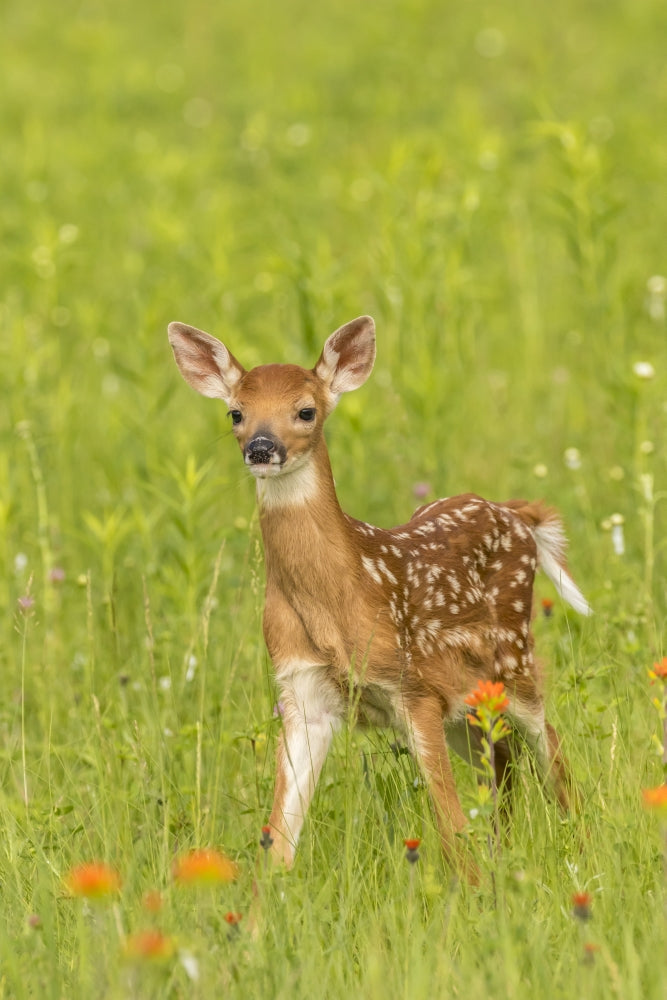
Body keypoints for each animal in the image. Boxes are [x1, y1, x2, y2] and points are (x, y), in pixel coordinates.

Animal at [168, 314, 592, 879]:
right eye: (236, 411)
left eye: (306, 410)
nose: (260, 447)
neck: (338, 599)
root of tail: (517, 514)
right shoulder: (303, 691)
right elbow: (279, 837)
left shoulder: (412, 687)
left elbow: (450, 824)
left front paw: (474, 890)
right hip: (467, 706)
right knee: (503, 763)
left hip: (515, 662)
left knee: (552, 752)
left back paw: (582, 847)